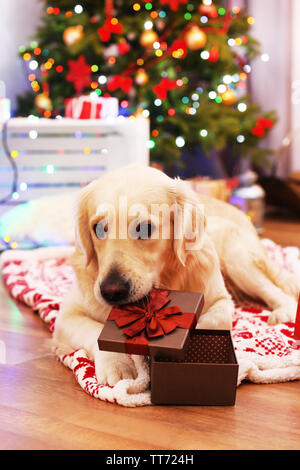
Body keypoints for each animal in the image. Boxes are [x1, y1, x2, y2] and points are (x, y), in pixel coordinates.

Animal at [52, 165, 298, 386]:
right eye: (99, 228)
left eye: (144, 228)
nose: (111, 291)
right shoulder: (66, 315)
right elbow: (93, 330)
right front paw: (117, 363)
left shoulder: (222, 301)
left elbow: (209, 322)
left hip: (238, 260)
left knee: (275, 290)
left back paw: (283, 311)